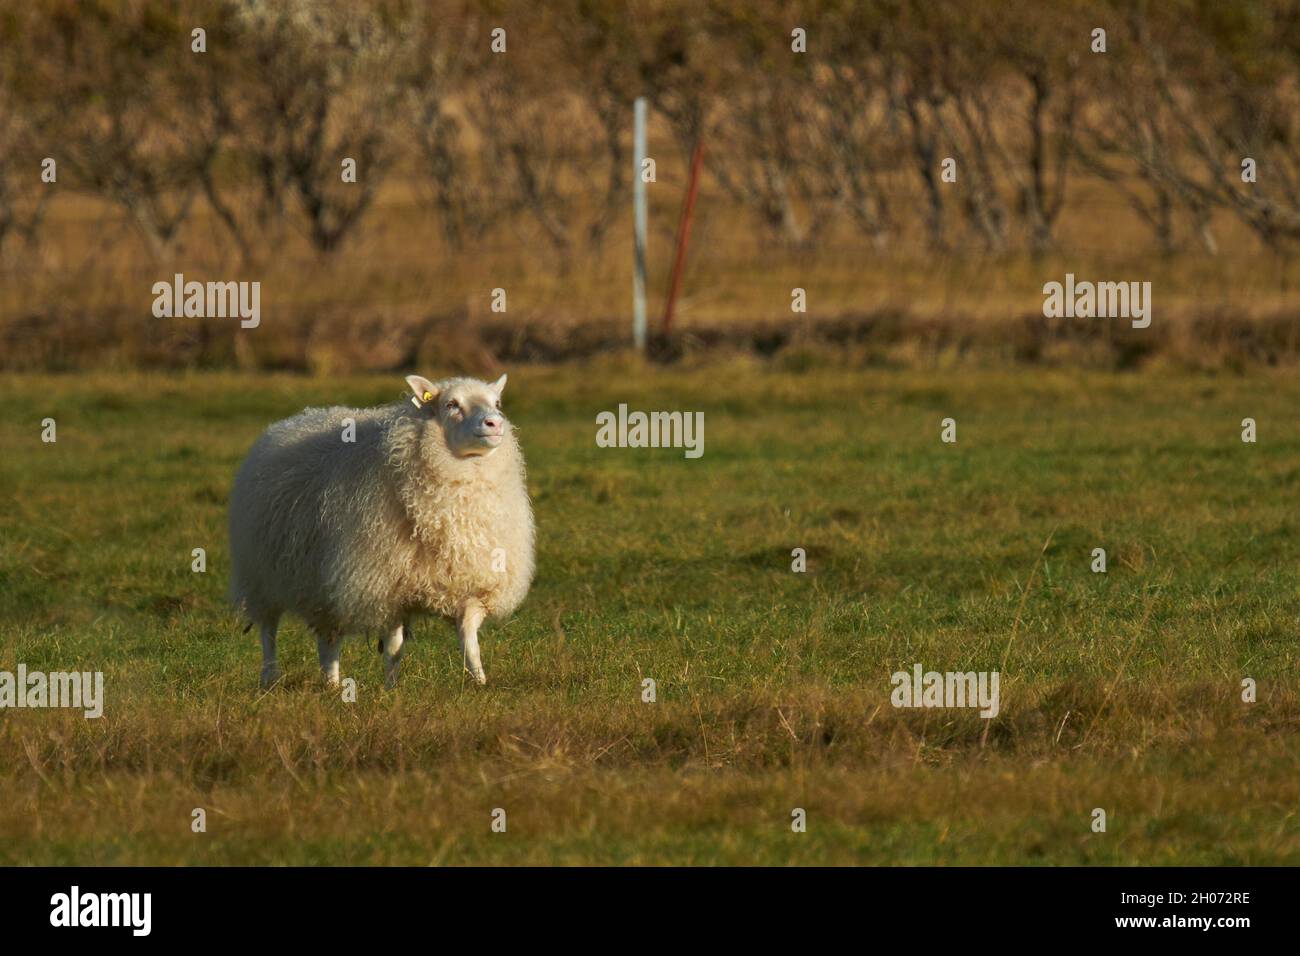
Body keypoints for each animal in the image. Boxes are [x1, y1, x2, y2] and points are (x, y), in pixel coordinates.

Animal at [228, 371, 533, 686]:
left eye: (497, 402)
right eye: (452, 404)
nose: (494, 423)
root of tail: (292, 421)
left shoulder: (470, 584)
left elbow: (470, 640)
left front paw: (479, 682)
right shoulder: (387, 586)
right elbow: (394, 647)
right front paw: (391, 688)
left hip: (322, 587)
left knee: (328, 639)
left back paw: (331, 684)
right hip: (261, 575)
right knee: (269, 630)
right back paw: (270, 676)